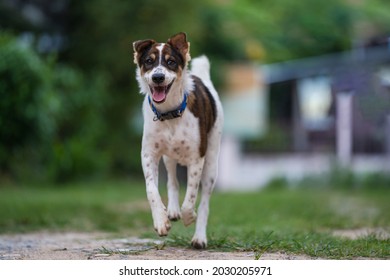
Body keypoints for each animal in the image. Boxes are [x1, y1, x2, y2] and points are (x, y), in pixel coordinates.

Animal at [133, 31, 222, 248]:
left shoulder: (197, 157)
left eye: (171, 62)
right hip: (169, 156)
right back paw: (173, 211)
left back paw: (199, 237)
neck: (169, 114)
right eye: (149, 61)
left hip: (211, 161)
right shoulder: (149, 154)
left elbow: (191, 196)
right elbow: (152, 190)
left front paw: (189, 216)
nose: (158, 77)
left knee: (204, 200)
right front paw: (161, 220)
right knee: (172, 180)